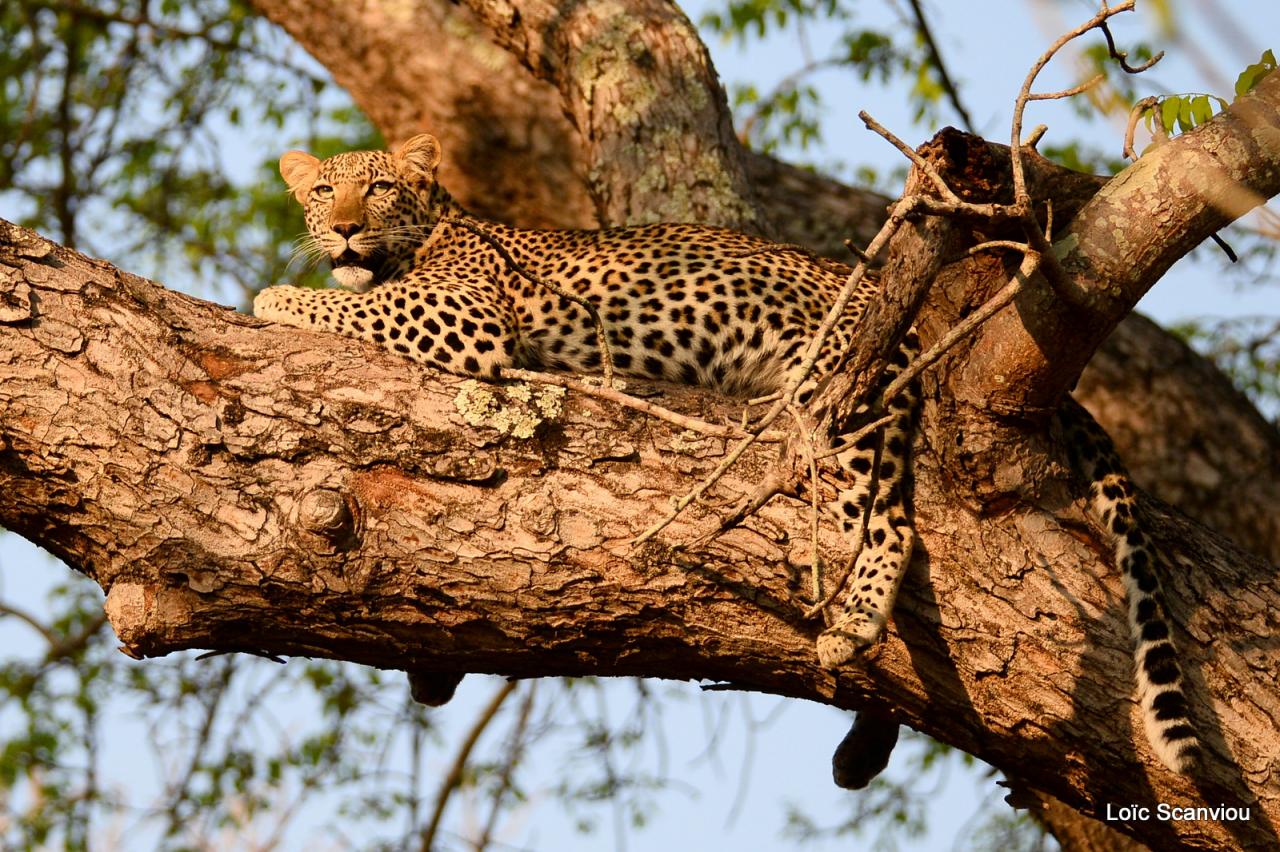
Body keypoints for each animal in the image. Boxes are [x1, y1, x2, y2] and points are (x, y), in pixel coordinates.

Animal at [252, 133, 1198, 777]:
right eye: (326, 191)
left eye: (378, 188)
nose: (344, 230)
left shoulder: (468, 315)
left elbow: (354, 307)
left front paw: (274, 296)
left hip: (841, 407)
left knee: (887, 524)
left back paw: (852, 622)